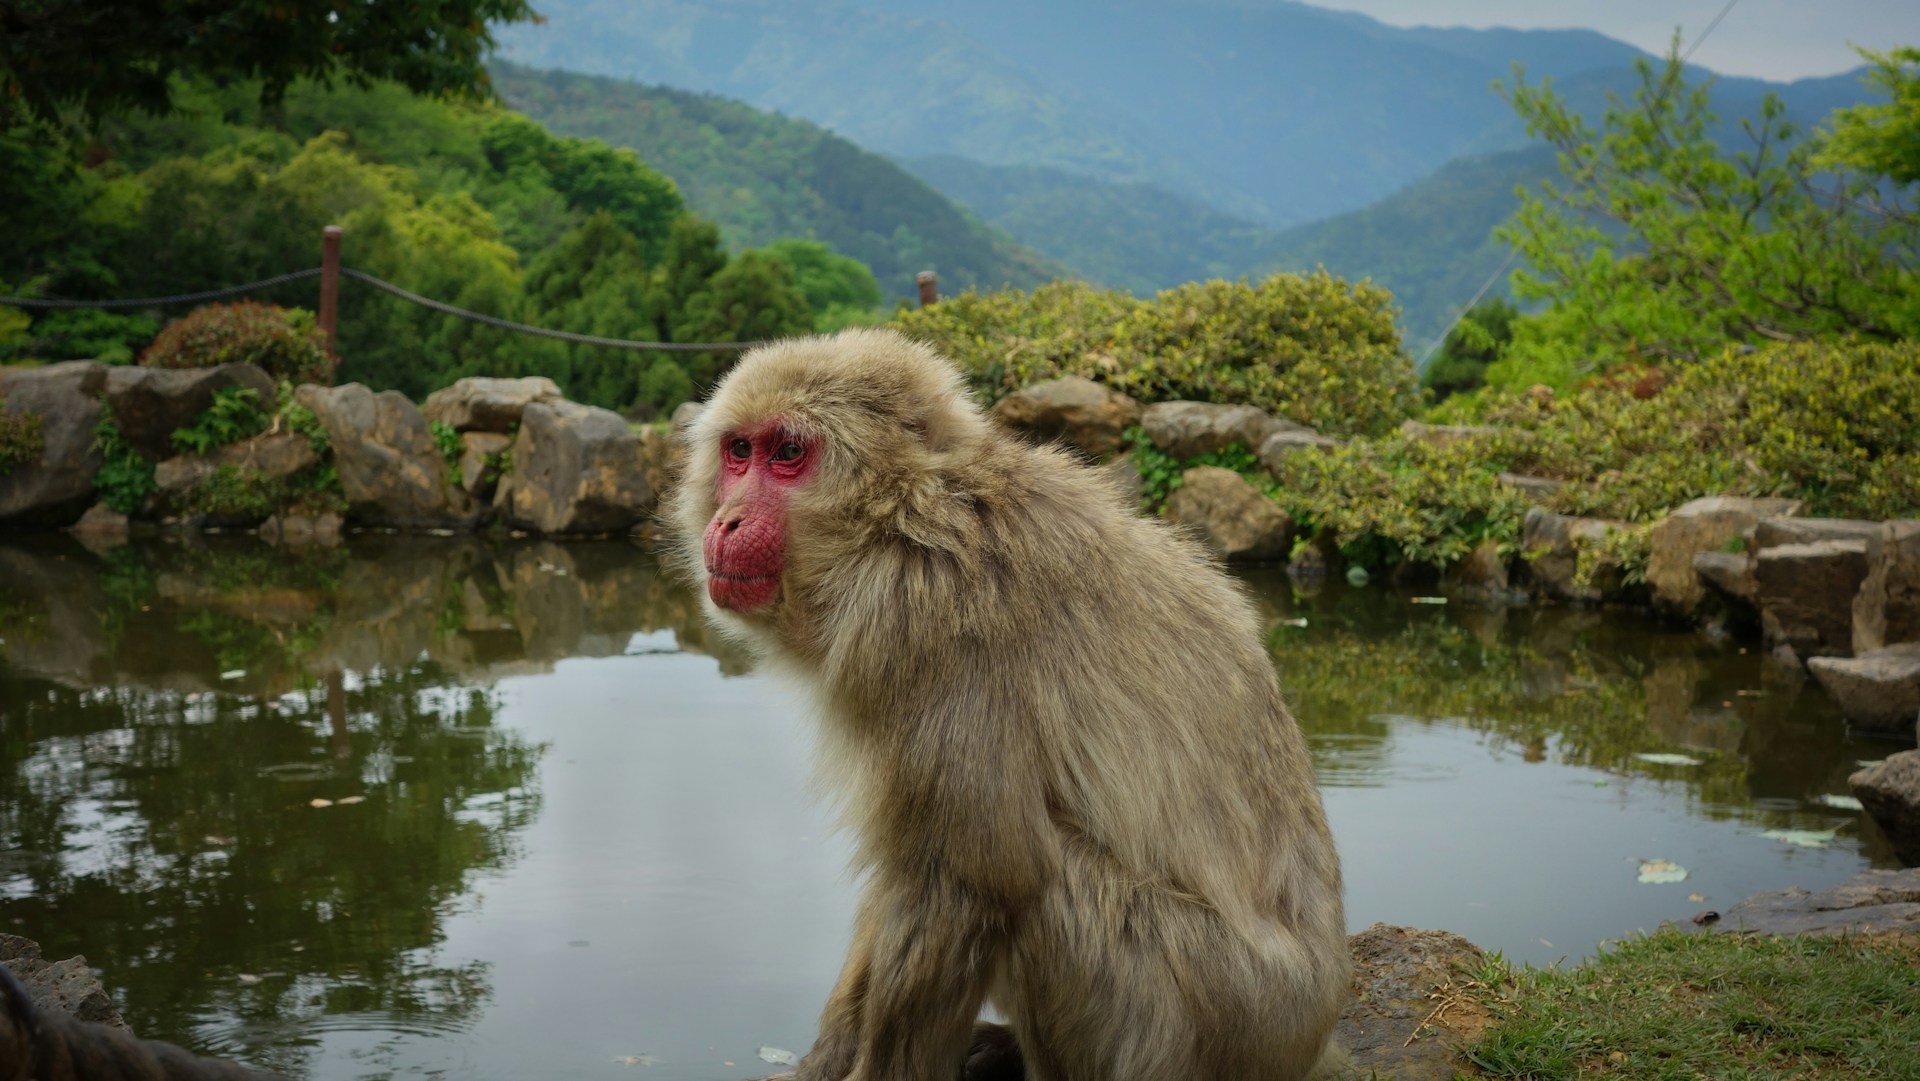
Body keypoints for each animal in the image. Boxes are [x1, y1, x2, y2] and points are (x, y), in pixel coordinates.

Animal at [669, 328, 1348, 1081]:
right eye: (739, 451)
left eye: (788, 453)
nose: (728, 520)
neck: (910, 520)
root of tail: (1314, 1030)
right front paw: (823, 1059)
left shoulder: (939, 633)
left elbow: (966, 881)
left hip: (1213, 1016)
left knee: (1043, 887)